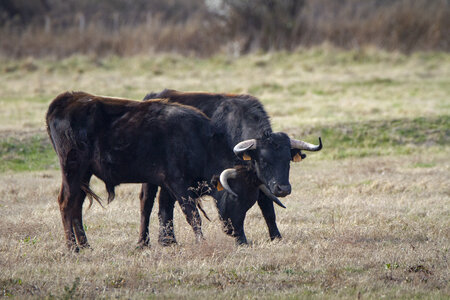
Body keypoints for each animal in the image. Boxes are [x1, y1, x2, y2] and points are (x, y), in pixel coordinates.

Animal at [142, 89, 322, 244]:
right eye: (264, 160)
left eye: (288, 160)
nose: (283, 189)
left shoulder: (259, 183)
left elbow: (268, 209)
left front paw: (276, 237)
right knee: (147, 202)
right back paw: (147, 242)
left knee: (164, 203)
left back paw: (167, 240)